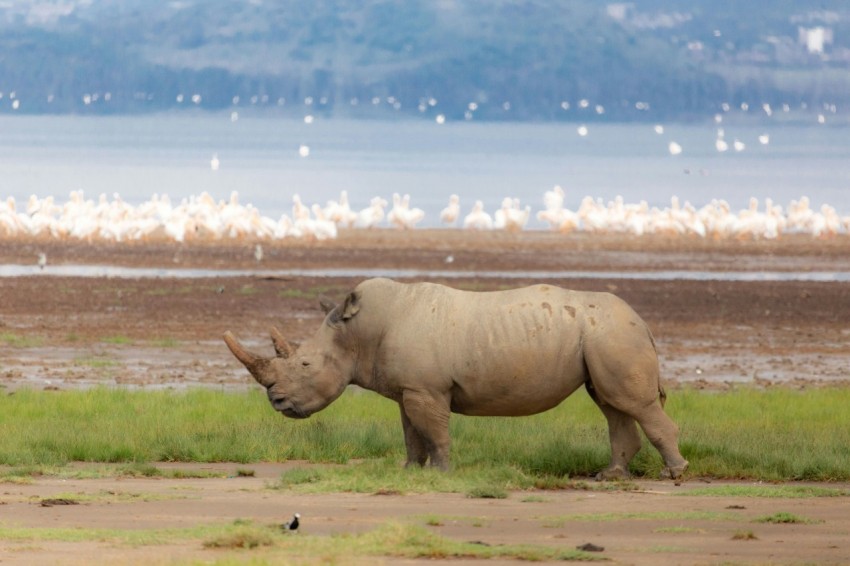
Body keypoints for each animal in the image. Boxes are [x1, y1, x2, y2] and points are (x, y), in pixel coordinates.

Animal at [224, 277, 689, 480]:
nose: (277, 402)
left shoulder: (427, 389)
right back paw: (610, 476)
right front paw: (409, 470)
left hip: (612, 334)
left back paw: (676, 474)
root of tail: (642, 321)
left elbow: (435, 431)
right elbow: (411, 433)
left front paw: (444, 473)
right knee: (611, 404)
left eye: (304, 366)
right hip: (603, 336)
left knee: (633, 404)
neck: (357, 334)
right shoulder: (408, 389)